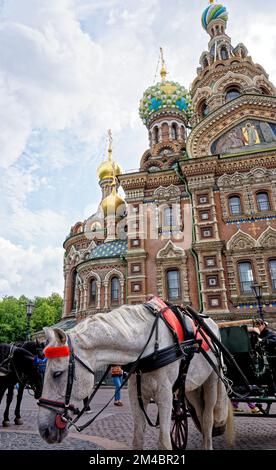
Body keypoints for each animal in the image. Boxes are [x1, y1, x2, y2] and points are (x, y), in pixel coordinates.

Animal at [37, 302, 233, 450]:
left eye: (57, 373)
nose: (44, 431)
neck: (149, 346)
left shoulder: (165, 395)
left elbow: (164, 443)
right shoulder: (135, 395)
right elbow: (137, 439)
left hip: (211, 382)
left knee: (207, 420)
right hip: (192, 388)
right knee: (199, 414)